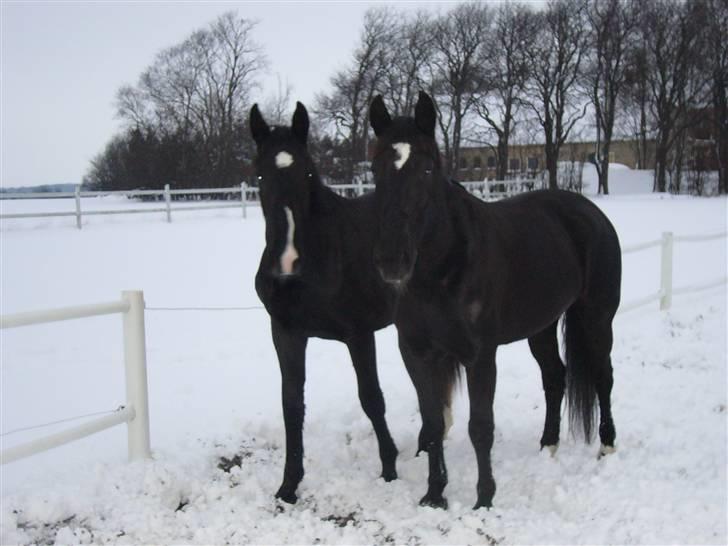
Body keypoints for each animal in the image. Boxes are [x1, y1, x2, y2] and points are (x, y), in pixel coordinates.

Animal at [250, 101, 398, 502]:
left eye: (307, 171)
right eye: (259, 174)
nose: (287, 262)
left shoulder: (359, 335)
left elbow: (372, 398)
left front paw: (390, 467)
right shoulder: (286, 333)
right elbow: (291, 404)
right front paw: (288, 485)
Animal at [370, 91, 620, 508]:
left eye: (426, 170)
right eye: (375, 169)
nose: (391, 260)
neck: (442, 272)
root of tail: (591, 213)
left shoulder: (480, 356)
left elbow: (480, 427)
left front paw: (484, 500)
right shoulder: (417, 354)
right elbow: (433, 423)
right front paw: (434, 495)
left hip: (595, 319)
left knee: (603, 376)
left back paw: (607, 448)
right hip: (542, 327)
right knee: (555, 376)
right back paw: (548, 446)